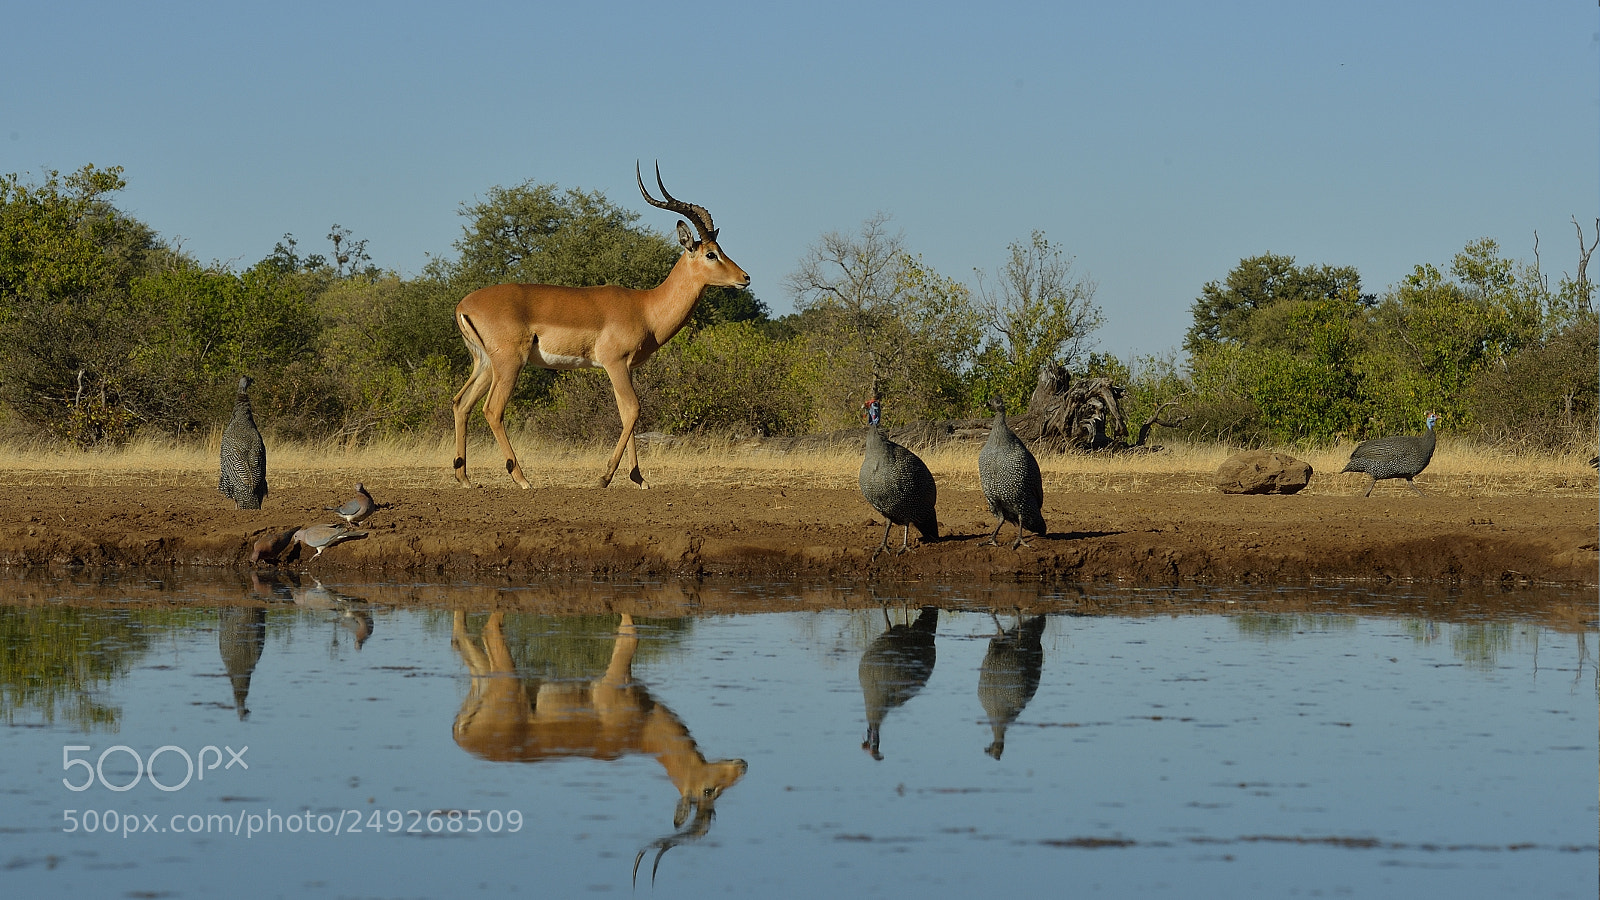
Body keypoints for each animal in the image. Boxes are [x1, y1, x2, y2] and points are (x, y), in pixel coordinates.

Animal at [450, 163, 751, 490]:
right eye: (711, 254)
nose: (745, 277)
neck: (645, 308)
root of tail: (463, 305)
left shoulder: (626, 368)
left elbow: (625, 413)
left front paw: (638, 478)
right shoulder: (614, 363)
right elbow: (634, 409)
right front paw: (605, 477)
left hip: (485, 364)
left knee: (461, 403)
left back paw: (464, 477)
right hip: (509, 363)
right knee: (492, 409)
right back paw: (522, 478)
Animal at [450, 611, 747, 877]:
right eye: (709, 790)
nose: (743, 766)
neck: (642, 728)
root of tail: (463, 738)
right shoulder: (615, 677)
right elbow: (631, 632)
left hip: (484, 678)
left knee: (460, 638)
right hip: (507, 679)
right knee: (489, 628)